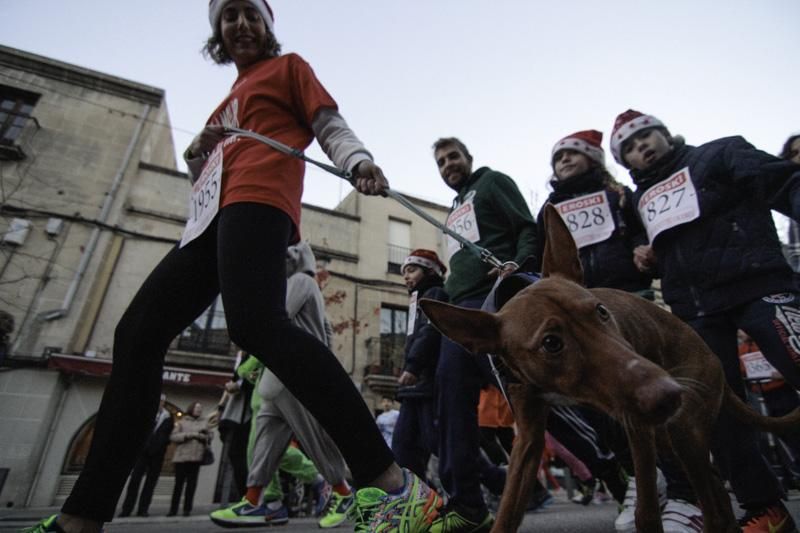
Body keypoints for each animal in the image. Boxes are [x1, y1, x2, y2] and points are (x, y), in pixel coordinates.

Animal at [422, 205, 796, 532]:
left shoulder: (637, 424)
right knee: (715, 491)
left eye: (601, 311)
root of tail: (711, 355)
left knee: (712, 498)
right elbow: (509, 510)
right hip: (669, 434)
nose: (669, 395)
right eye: (551, 343)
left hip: (683, 427)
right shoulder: (528, 437)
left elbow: (647, 512)